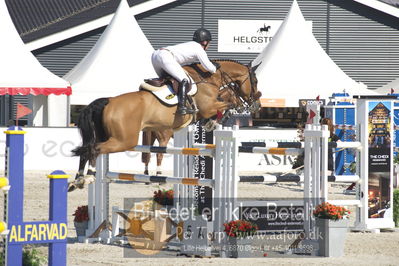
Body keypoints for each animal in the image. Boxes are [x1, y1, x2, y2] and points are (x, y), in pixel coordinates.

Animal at [69, 59, 262, 191]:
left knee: (87, 149)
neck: (208, 78)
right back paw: (89, 177)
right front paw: (219, 117)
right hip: (124, 141)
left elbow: (226, 97)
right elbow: (228, 101)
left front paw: (212, 122)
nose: (256, 105)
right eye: (255, 81)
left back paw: (77, 179)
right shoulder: (208, 107)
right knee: (95, 149)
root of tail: (107, 101)